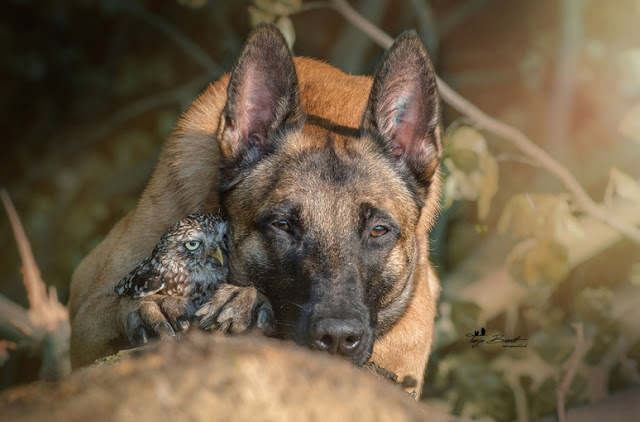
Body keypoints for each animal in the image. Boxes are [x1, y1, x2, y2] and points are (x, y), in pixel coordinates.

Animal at [67, 23, 442, 398]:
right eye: (282, 225)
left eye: (379, 230)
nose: (337, 338)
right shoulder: (88, 313)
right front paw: (155, 303)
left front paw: (244, 301)